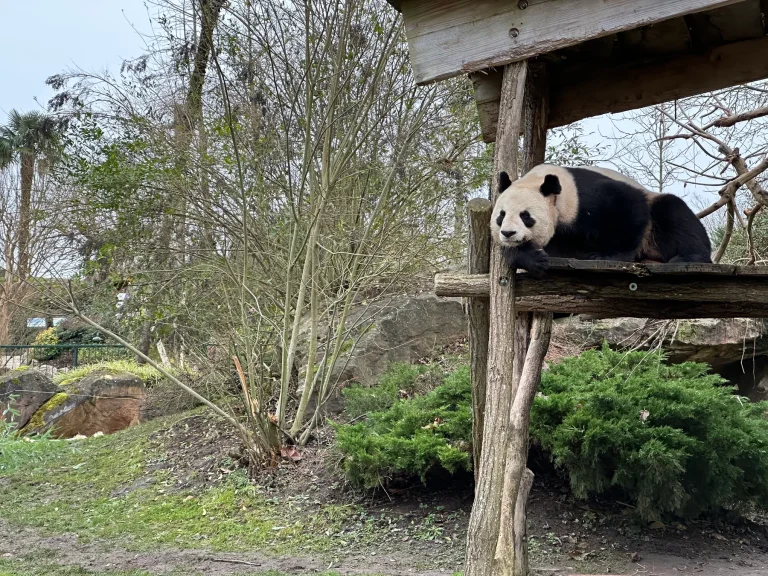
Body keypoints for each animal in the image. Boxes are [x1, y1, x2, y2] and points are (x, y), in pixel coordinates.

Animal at [490, 164, 712, 277]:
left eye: (525, 216)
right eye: (501, 215)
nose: (508, 233)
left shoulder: (581, 198)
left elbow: (627, 208)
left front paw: (607, 255)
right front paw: (534, 258)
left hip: (655, 219)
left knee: (675, 214)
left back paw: (688, 258)